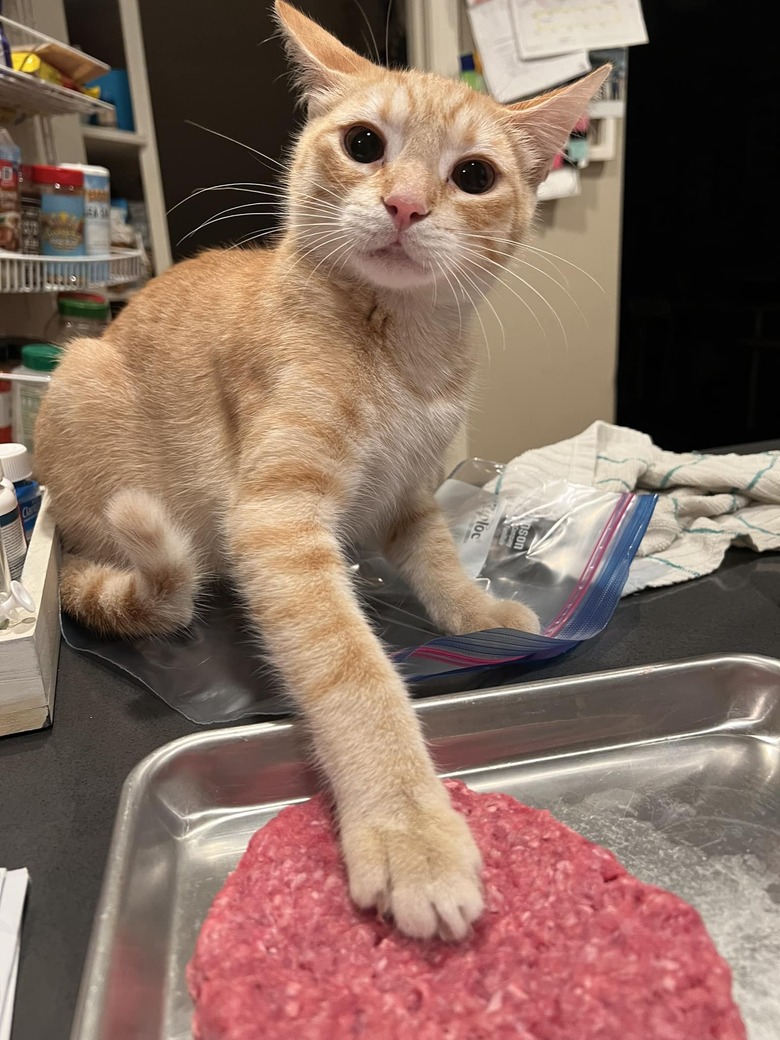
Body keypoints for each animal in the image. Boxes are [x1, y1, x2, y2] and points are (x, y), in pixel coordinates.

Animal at [35, 2, 611, 944]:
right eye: (366, 143)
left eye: (475, 175)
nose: (406, 204)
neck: (406, 348)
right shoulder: (276, 520)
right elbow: (353, 671)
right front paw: (409, 829)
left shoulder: (407, 493)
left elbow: (440, 559)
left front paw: (478, 609)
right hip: (87, 396)